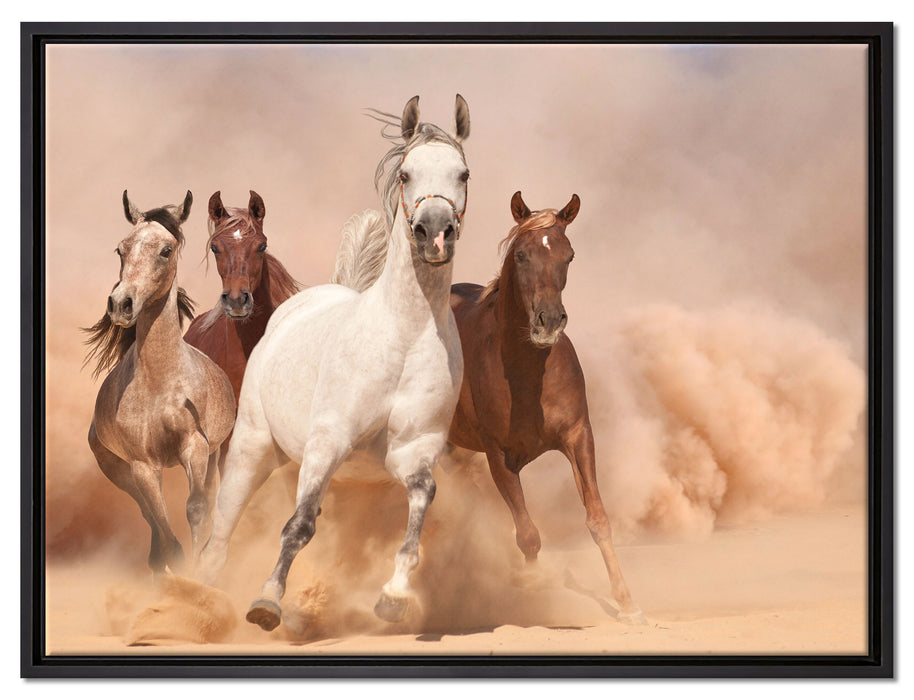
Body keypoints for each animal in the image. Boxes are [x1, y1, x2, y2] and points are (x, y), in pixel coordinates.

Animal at [83, 191, 236, 575]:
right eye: (121, 249)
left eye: (166, 250)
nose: (121, 304)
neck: (161, 385)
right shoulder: (142, 465)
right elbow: (167, 534)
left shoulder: (195, 447)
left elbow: (197, 508)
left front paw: (201, 571)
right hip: (119, 471)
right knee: (149, 518)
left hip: (214, 455)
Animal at [198, 94, 472, 632]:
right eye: (406, 173)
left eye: (463, 173)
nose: (434, 233)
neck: (404, 336)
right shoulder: (329, 440)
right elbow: (297, 526)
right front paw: (266, 603)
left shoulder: (413, 450)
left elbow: (420, 505)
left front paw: (394, 596)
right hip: (253, 447)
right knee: (222, 528)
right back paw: (194, 595)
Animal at [447, 191, 645, 624]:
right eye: (521, 254)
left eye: (568, 255)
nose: (549, 321)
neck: (527, 372)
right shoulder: (498, 457)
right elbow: (528, 534)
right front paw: (533, 588)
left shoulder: (578, 436)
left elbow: (597, 519)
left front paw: (627, 603)